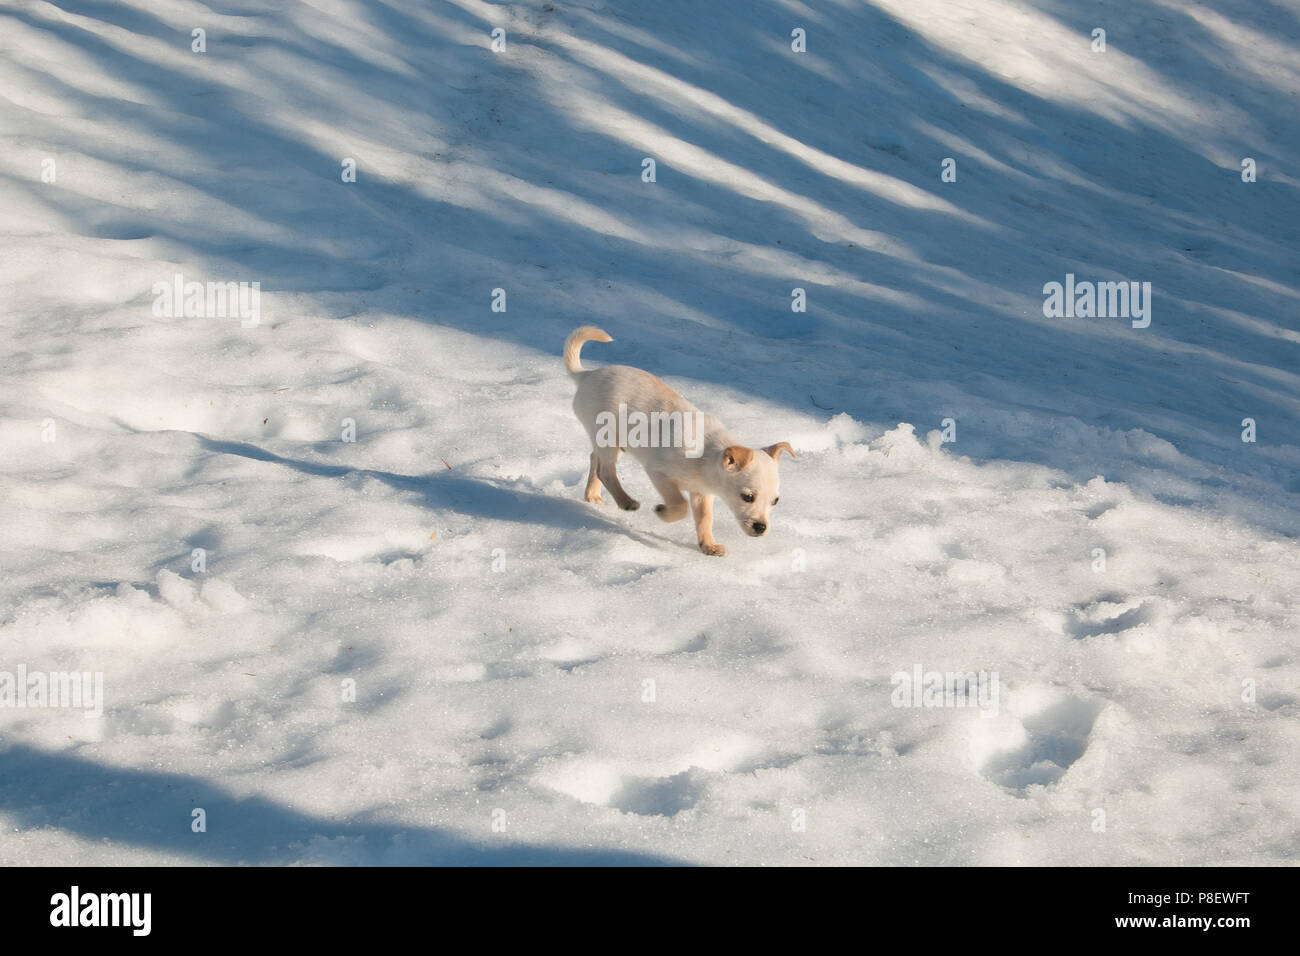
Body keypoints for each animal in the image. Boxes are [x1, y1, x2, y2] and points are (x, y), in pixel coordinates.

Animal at [566, 327, 795, 556]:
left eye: (775, 501)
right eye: (747, 497)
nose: (761, 527)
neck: (707, 458)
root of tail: (586, 375)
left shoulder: (701, 494)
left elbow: (704, 519)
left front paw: (708, 546)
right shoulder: (659, 472)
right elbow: (680, 505)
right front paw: (662, 511)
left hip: (617, 442)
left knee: (595, 459)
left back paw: (593, 496)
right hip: (608, 439)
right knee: (605, 470)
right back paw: (626, 501)